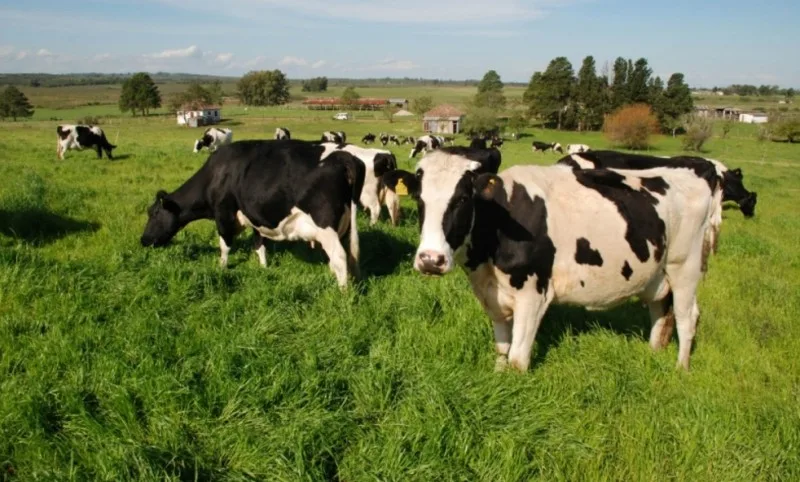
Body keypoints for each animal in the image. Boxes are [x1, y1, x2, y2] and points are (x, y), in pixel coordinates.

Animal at [141, 139, 366, 290]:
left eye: (153, 213)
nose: (143, 240)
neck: (216, 175)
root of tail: (344, 156)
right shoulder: (255, 217)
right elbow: (259, 245)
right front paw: (264, 268)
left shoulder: (223, 213)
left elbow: (225, 245)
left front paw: (222, 268)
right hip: (344, 225)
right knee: (342, 257)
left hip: (325, 225)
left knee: (339, 256)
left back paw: (342, 293)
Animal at [388, 151, 720, 372]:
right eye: (419, 199)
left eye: (462, 199)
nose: (431, 260)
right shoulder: (493, 294)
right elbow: (501, 349)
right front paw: (496, 378)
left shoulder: (533, 295)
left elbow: (517, 359)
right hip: (657, 273)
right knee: (660, 311)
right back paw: (653, 354)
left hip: (685, 267)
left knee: (687, 317)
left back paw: (680, 368)